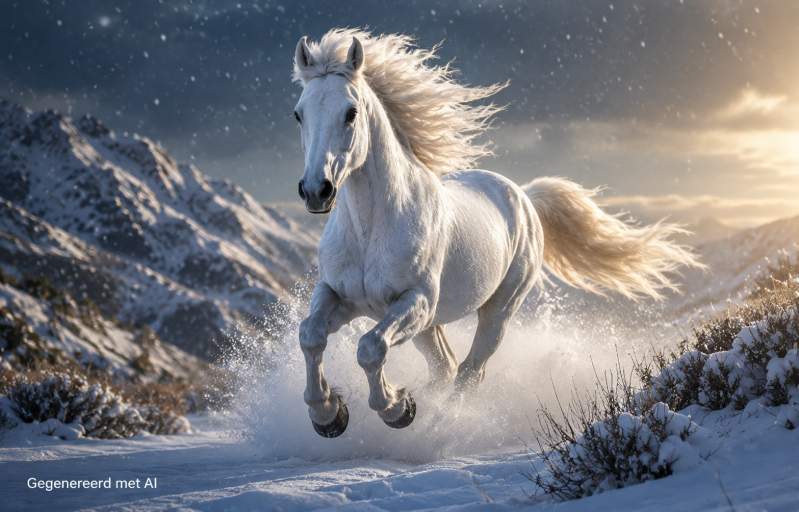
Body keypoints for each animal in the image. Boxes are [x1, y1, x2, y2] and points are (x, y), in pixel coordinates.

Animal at [291, 29, 703, 438]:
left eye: (351, 112)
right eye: (298, 114)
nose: (316, 191)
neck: (370, 230)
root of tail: (524, 197)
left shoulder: (415, 302)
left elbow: (370, 347)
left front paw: (397, 409)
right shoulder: (339, 296)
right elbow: (310, 335)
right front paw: (329, 414)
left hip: (497, 310)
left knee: (470, 371)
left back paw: (439, 427)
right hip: (430, 325)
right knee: (446, 367)